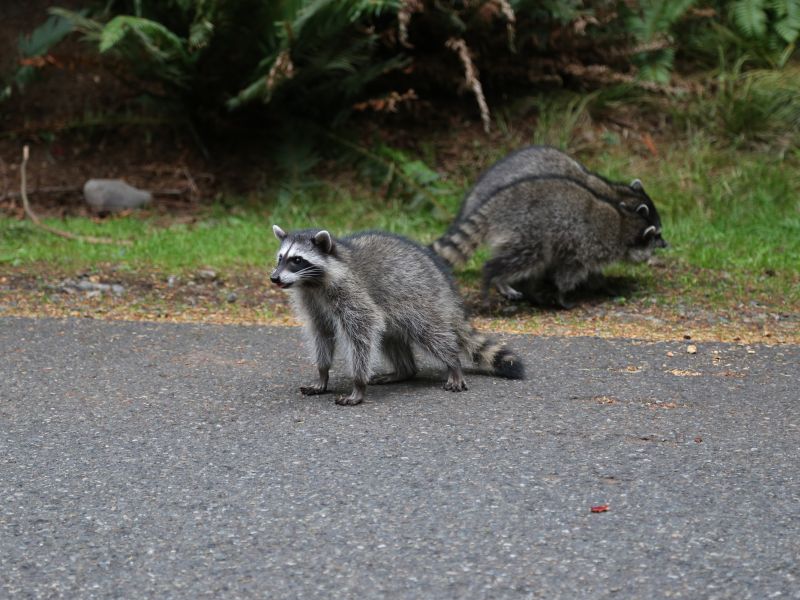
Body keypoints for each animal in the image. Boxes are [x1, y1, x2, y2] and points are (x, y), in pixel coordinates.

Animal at [270, 226, 524, 406]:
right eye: (280, 258)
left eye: (297, 260)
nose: (274, 277)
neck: (312, 283)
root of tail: (446, 286)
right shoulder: (312, 302)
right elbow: (321, 332)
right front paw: (322, 374)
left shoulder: (351, 291)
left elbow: (362, 331)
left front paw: (358, 384)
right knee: (390, 338)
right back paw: (404, 370)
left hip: (421, 301)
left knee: (431, 333)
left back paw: (452, 362)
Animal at [432, 176, 665, 308]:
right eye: (655, 238)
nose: (665, 245)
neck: (623, 221)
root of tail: (497, 202)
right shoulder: (586, 245)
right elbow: (570, 272)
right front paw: (564, 294)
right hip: (529, 229)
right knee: (525, 259)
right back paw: (493, 275)